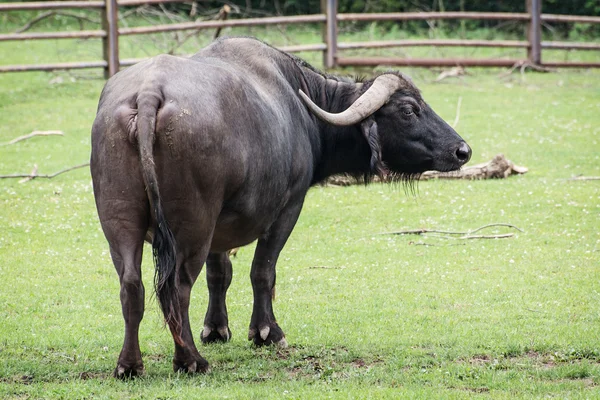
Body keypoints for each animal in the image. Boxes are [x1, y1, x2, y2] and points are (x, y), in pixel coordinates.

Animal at [91, 36, 472, 376]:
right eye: (409, 110)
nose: (462, 150)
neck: (302, 106)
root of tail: (149, 94)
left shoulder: (220, 227)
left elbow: (220, 274)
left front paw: (216, 329)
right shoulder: (288, 208)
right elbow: (263, 270)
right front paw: (267, 332)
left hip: (120, 222)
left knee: (132, 285)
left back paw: (130, 364)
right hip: (192, 224)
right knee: (178, 286)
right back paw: (190, 361)